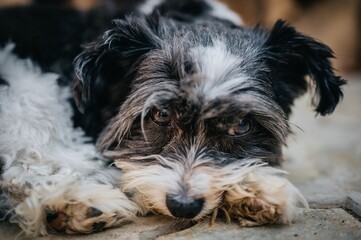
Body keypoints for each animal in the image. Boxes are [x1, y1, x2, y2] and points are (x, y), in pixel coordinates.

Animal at [0, 0, 344, 236]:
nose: (183, 205)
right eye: (161, 114)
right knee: (23, 160)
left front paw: (253, 187)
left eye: (241, 125)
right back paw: (74, 201)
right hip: (31, 85)